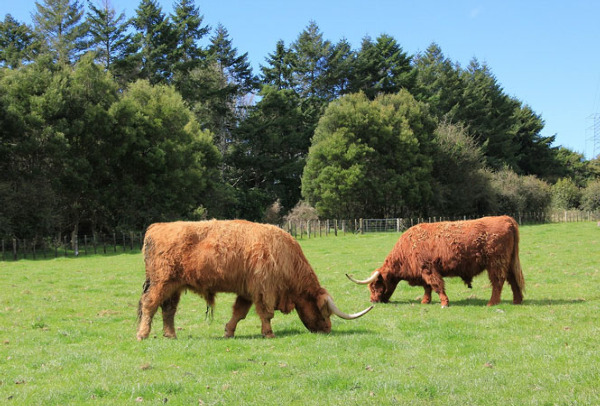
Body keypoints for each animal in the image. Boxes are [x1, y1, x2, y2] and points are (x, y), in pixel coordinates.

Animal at [137, 220, 372, 338]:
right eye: (324, 312)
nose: (328, 329)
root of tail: (156, 227)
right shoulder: (264, 290)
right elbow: (266, 314)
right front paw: (268, 334)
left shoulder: (247, 291)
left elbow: (239, 313)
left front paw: (228, 332)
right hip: (161, 283)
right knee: (150, 304)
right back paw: (143, 334)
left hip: (174, 287)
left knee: (168, 310)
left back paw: (171, 335)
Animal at [346, 216, 524, 308]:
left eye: (375, 285)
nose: (373, 300)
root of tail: (505, 219)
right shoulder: (423, 272)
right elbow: (428, 287)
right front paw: (425, 301)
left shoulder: (429, 269)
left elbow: (436, 285)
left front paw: (444, 303)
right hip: (509, 262)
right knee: (513, 280)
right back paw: (517, 300)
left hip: (496, 263)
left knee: (498, 282)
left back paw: (492, 302)